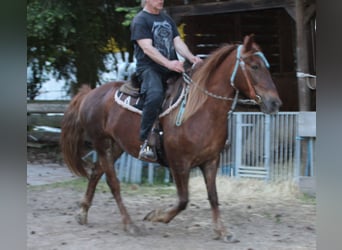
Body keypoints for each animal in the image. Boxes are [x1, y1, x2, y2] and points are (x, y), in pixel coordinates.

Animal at [60, 34, 282, 241]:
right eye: (254, 66)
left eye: (265, 66)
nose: (275, 103)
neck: (201, 110)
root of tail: (90, 94)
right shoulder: (178, 163)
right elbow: (183, 200)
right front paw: (156, 216)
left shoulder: (211, 160)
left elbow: (213, 196)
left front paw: (222, 230)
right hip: (101, 143)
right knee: (112, 183)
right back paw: (130, 224)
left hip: (116, 146)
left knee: (96, 173)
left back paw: (83, 212)